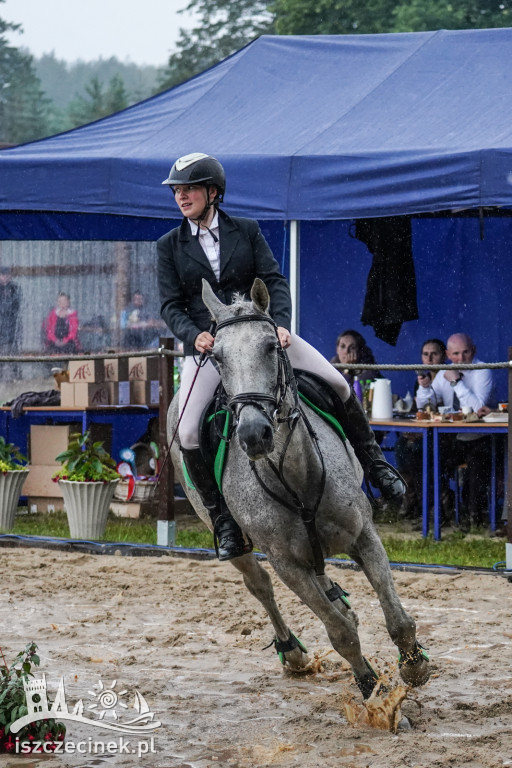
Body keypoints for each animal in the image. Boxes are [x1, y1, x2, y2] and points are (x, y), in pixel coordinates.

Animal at [167, 278, 428, 704]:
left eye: (272, 346)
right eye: (217, 358)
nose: (253, 434)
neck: (296, 476)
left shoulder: (364, 536)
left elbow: (397, 618)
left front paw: (414, 665)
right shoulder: (287, 564)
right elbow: (339, 632)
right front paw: (371, 690)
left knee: (324, 581)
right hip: (231, 536)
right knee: (259, 585)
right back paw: (293, 652)